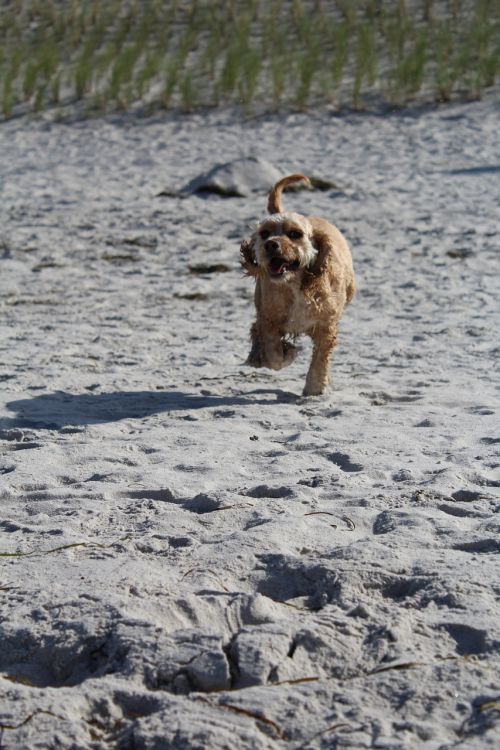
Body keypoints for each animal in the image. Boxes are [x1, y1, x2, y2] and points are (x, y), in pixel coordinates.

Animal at [239, 175, 354, 400]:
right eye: (264, 234)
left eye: (295, 234)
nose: (271, 244)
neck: (294, 285)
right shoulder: (268, 319)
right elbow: (272, 352)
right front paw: (287, 353)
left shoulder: (326, 326)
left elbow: (321, 359)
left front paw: (316, 388)